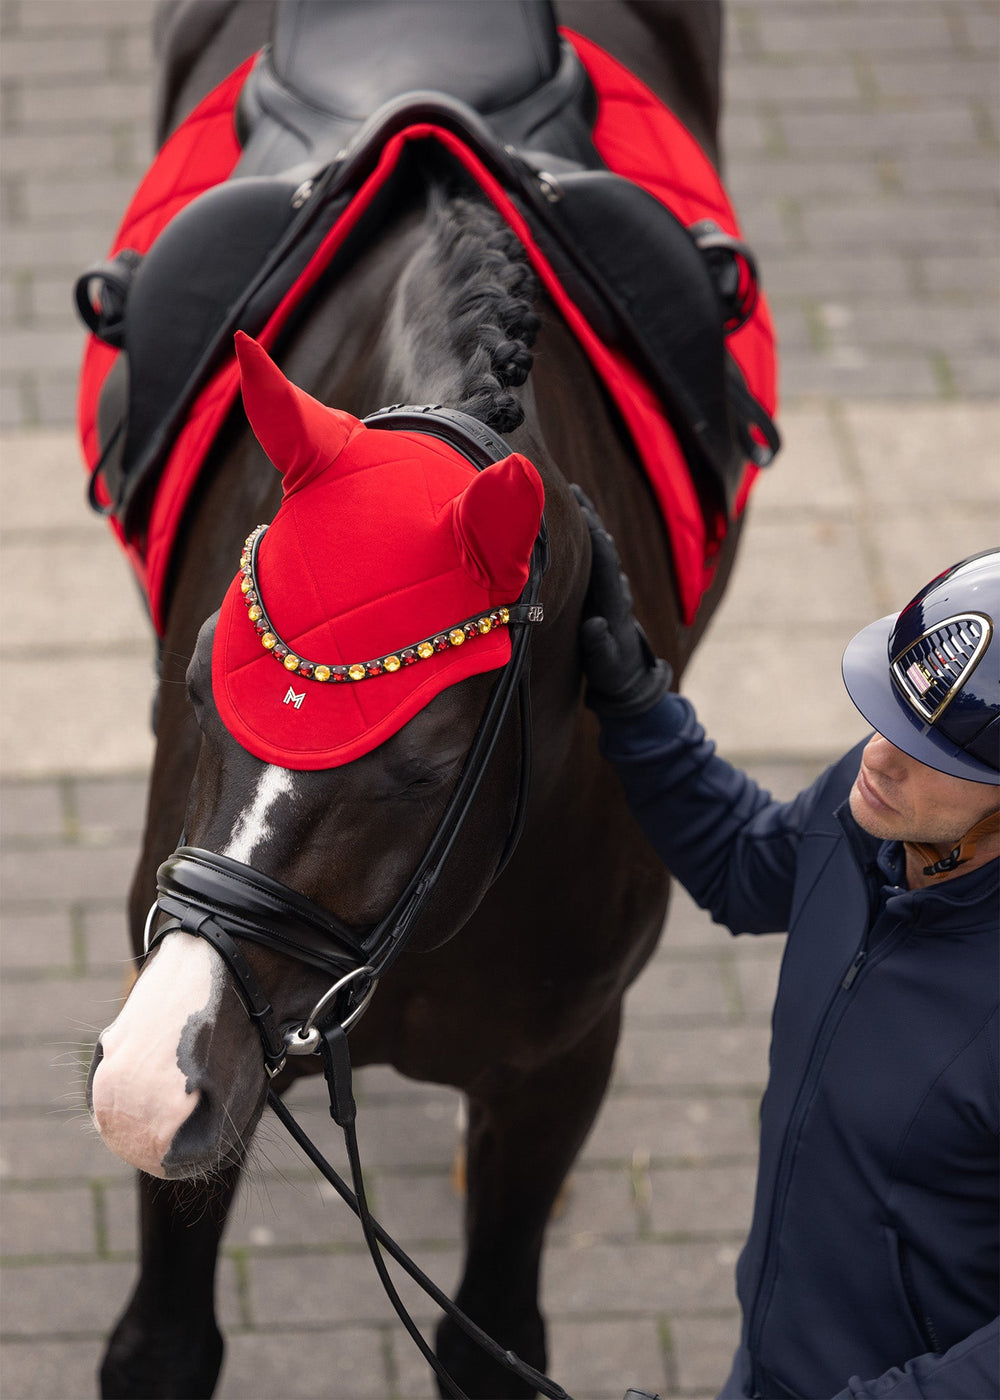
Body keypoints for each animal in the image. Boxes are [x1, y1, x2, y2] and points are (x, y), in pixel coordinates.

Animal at [82, 3, 762, 1396]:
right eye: (200, 679)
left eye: (435, 759)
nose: (142, 1079)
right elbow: (165, 1342)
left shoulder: (555, 1069)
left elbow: (489, 1338)